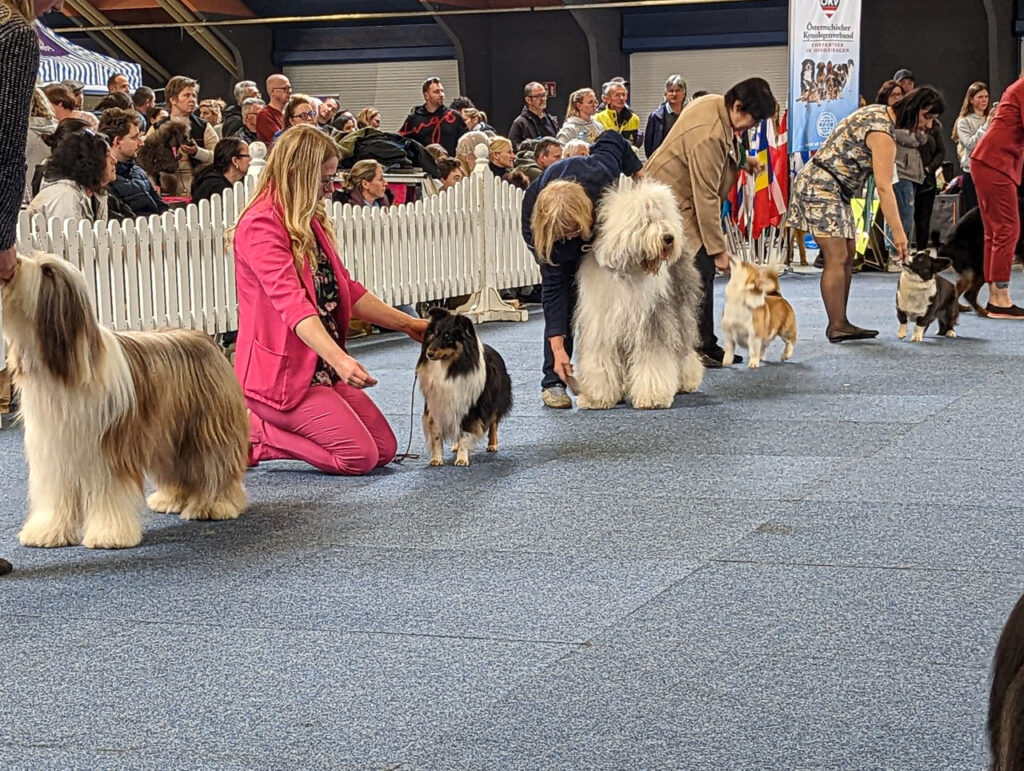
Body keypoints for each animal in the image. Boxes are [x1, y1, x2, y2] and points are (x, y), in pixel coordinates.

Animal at [413, 305, 512, 462]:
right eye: (435, 334)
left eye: (448, 337)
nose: (429, 354)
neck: (448, 367)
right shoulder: (436, 406)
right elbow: (436, 435)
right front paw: (436, 459)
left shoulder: (469, 406)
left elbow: (465, 433)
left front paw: (461, 459)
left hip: (495, 400)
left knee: (493, 424)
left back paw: (492, 445)